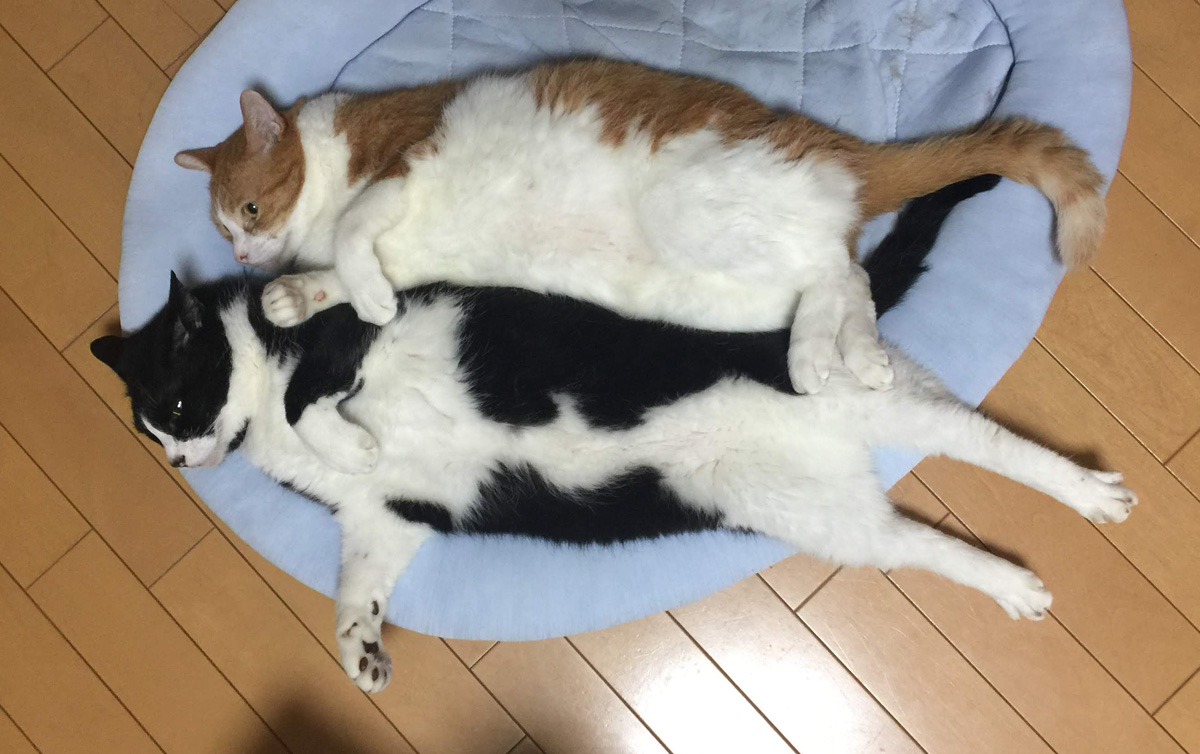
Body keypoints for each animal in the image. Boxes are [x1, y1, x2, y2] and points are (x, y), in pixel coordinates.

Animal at [93, 177, 1135, 693]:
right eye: (155, 438)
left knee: (993, 445)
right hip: (830, 521)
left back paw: (1092, 492)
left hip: (868, 403)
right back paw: (1019, 586)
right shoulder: (386, 521)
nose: (183, 462)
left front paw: (346, 437)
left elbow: (317, 392)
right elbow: (357, 588)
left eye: (176, 410)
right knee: (928, 544)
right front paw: (361, 655)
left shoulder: (354, 327)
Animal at [175, 58, 1106, 397]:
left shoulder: (401, 165)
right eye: (222, 233)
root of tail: (837, 147)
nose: (244, 251)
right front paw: (295, 297)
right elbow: (349, 272)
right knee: (837, 279)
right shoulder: (389, 249)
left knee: (846, 270)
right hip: (715, 295)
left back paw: (843, 357)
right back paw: (832, 356)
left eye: (247, 211)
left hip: (697, 212)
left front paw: (350, 296)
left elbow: (359, 246)